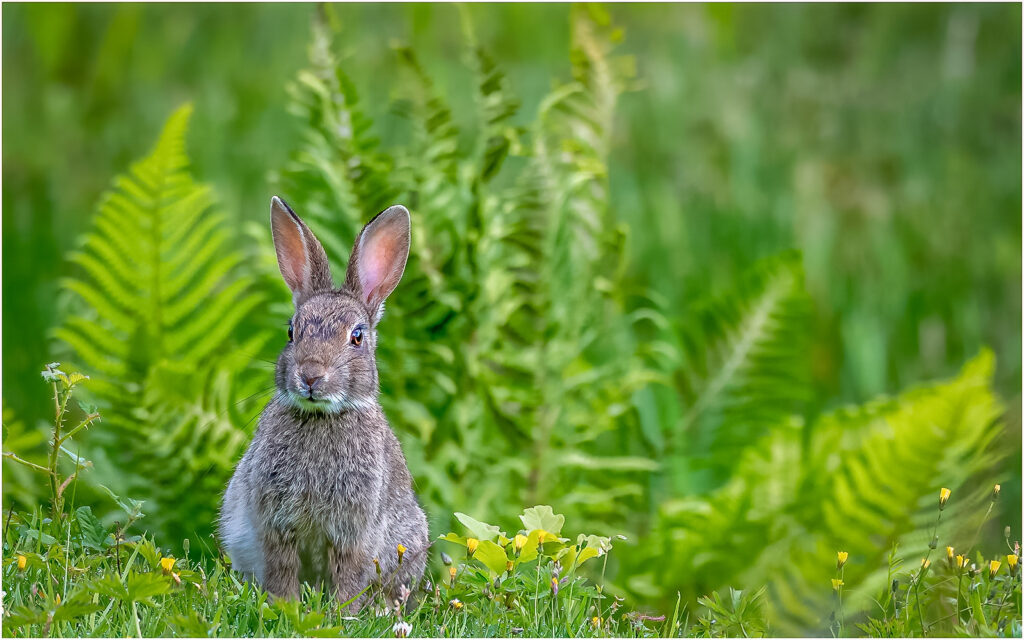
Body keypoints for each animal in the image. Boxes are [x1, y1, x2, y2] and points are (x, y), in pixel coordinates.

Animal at [219, 196, 429, 608]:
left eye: (357, 337)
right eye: (291, 331)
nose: (311, 376)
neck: (321, 417)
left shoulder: (354, 532)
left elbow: (349, 574)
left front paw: (341, 612)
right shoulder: (277, 525)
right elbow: (282, 570)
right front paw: (284, 606)